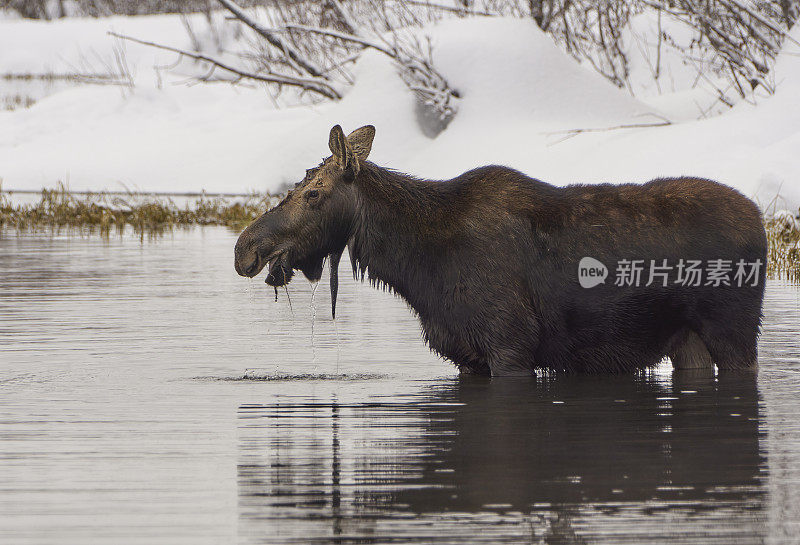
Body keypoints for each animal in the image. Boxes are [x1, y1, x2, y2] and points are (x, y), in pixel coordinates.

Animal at [233, 125, 768, 376]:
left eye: (313, 193)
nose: (245, 249)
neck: (418, 269)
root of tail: (761, 219)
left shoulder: (511, 347)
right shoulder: (467, 356)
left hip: (734, 330)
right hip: (686, 341)